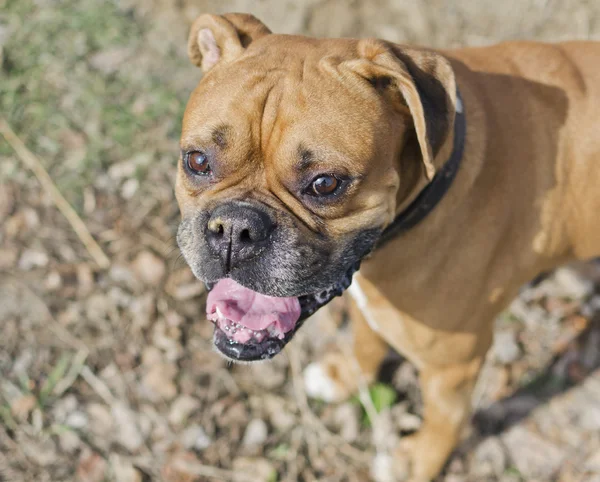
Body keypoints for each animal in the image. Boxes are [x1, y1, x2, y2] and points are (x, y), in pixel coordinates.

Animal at [176, 12, 596, 482]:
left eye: (325, 184)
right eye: (197, 161)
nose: (235, 228)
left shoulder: (453, 364)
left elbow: (445, 418)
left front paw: (417, 461)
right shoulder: (370, 303)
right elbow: (367, 342)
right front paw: (346, 376)